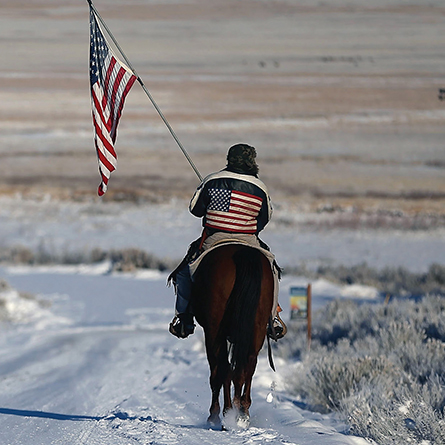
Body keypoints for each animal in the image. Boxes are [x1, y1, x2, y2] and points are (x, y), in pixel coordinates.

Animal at [192, 243, 274, 426]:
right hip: (257, 329)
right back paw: (241, 413)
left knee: (224, 368)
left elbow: (216, 372)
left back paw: (226, 413)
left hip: (215, 330)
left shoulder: (212, 332)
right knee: (247, 367)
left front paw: (214, 415)